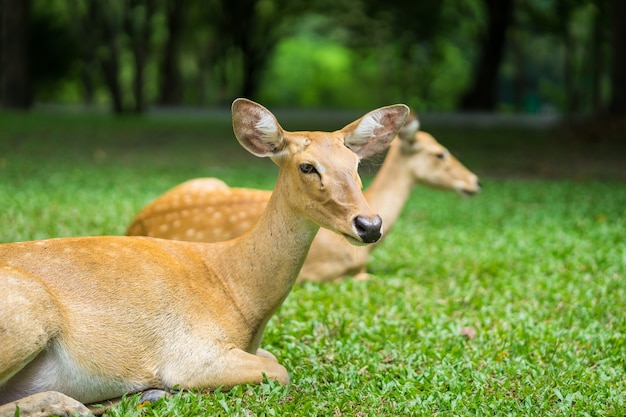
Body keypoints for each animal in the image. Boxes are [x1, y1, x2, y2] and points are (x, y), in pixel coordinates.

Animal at [0, 98, 410, 416]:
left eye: (355, 166)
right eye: (307, 166)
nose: (370, 224)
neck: (238, 295)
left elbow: (274, 362)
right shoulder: (192, 353)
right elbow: (280, 371)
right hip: (28, 312)